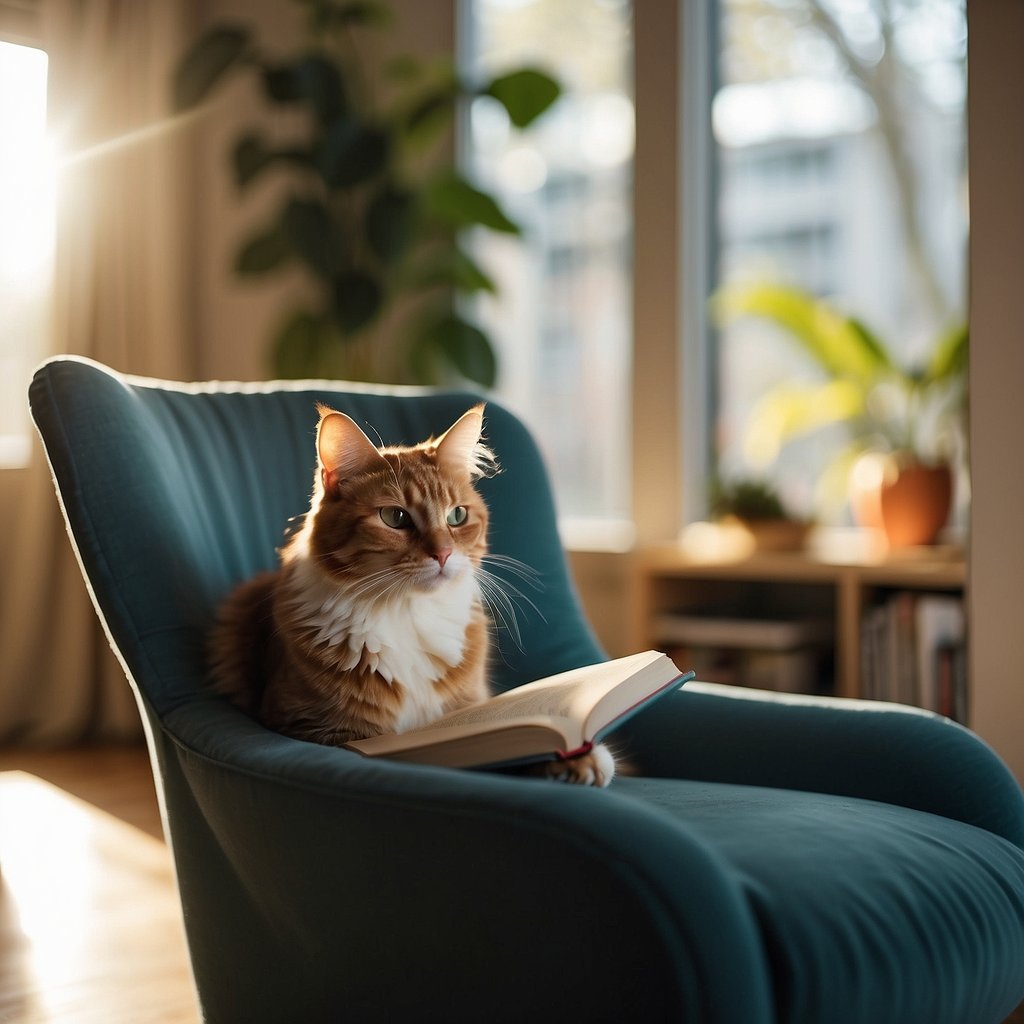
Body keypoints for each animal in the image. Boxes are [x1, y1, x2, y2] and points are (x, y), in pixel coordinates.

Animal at [203, 403, 610, 786]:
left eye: (457, 516)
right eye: (395, 518)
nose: (443, 554)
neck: (405, 613)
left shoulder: (470, 708)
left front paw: (579, 755)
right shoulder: (313, 727)